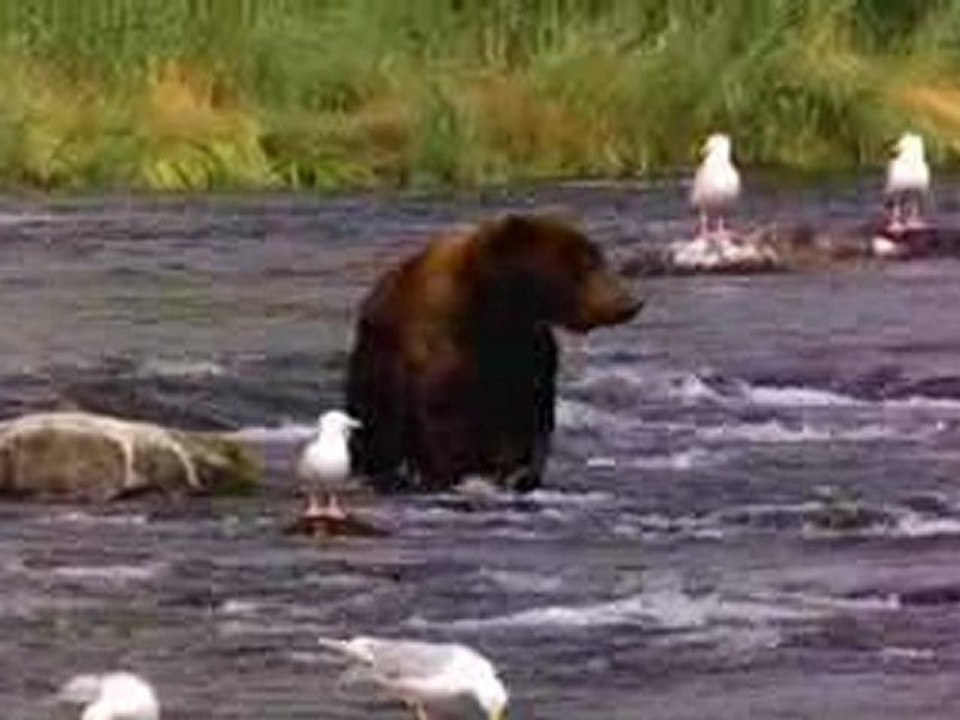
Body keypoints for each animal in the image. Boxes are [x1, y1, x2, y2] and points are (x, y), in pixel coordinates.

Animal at [346, 213, 642, 493]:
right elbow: (441, 423)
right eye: (584, 264)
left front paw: (517, 474)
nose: (630, 303)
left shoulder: (525, 353)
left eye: (598, 258)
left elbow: (527, 420)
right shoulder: (440, 352)